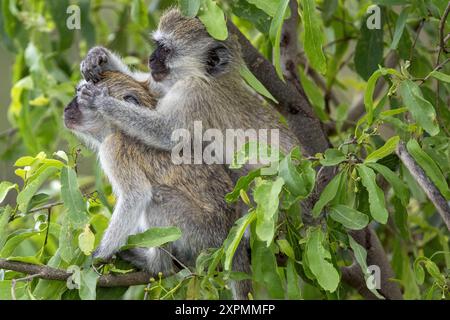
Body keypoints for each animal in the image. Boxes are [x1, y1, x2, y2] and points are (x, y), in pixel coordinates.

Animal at [63, 71, 251, 298]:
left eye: (81, 95)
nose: (66, 109)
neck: (116, 129)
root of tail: (231, 233)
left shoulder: (114, 148)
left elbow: (137, 196)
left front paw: (99, 255)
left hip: (201, 233)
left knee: (157, 200)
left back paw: (156, 264)